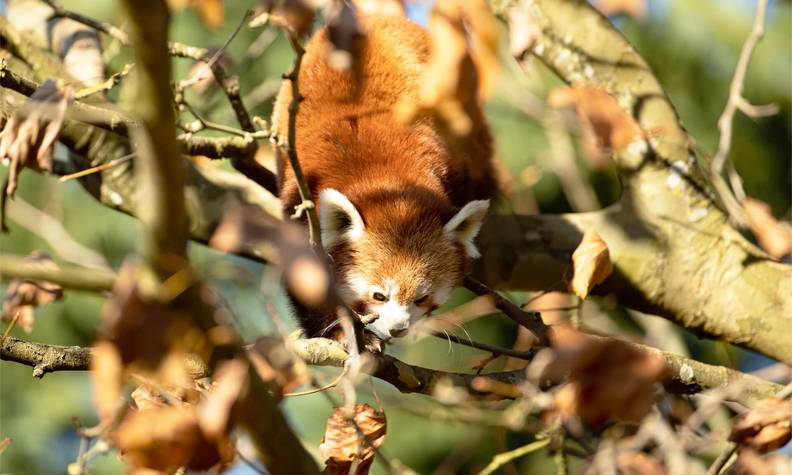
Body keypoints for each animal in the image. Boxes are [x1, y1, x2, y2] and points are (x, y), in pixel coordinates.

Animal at [272, 13, 496, 342]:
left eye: (421, 297)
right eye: (379, 295)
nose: (397, 329)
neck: (382, 176)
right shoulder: (301, 197)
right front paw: (338, 330)